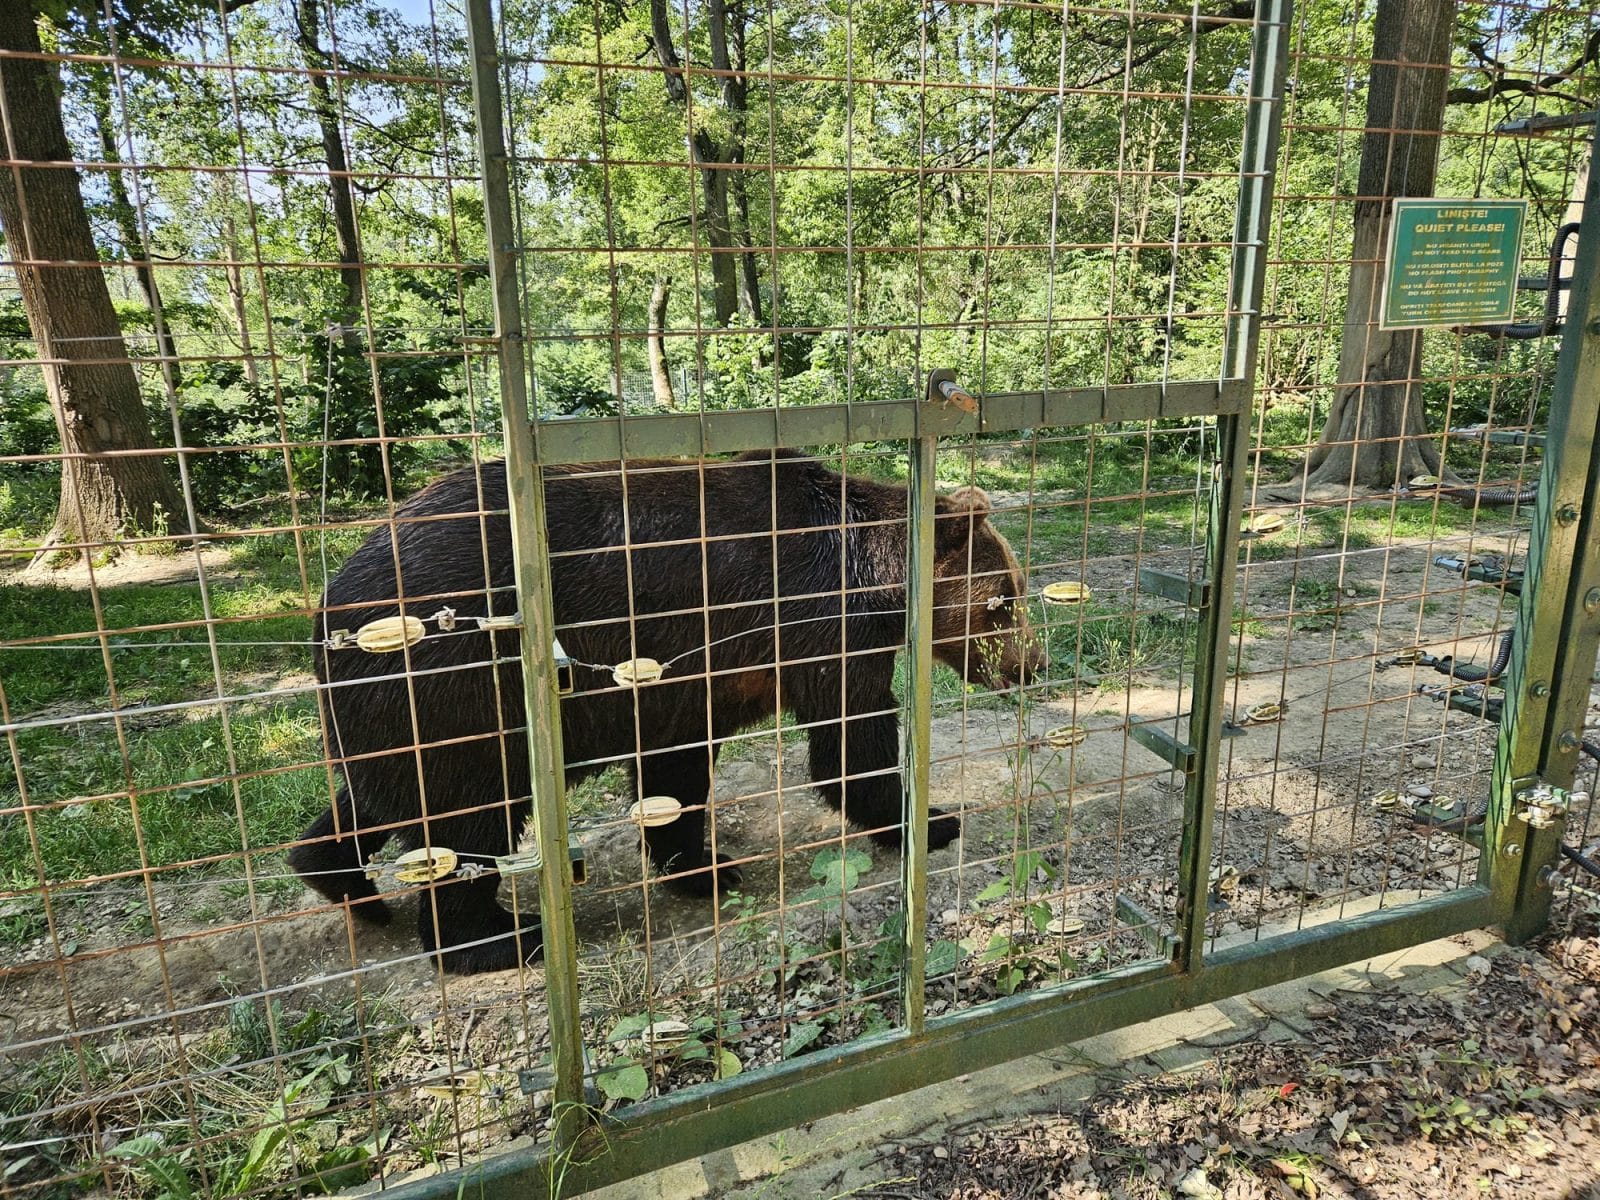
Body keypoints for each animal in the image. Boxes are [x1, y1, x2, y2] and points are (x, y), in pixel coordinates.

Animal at [287, 449, 1041, 974]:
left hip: (394, 704)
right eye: (1004, 598)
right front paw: (931, 819)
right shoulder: (816, 624)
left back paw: (343, 882)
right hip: (458, 679)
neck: (879, 578)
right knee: (469, 816)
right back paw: (500, 937)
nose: (1031, 665)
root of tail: (328, 604)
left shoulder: (694, 678)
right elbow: (851, 741)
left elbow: (676, 769)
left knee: (385, 797)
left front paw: (701, 862)